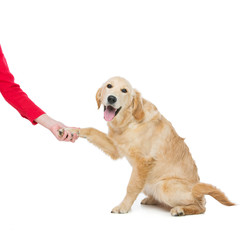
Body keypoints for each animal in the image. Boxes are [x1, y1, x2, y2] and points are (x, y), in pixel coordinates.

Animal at [60, 76, 234, 216]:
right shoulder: (117, 150)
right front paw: (69, 130)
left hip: (164, 185)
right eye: (109, 86)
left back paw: (180, 209)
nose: (111, 98)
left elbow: (131, 187)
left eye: (124, 90)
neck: (129, 121)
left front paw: (123, 207)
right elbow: (90, 130)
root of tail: (197, 190)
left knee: (201, 206)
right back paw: (152, 200)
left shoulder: (143, 162)